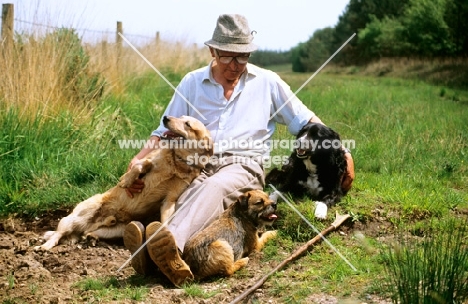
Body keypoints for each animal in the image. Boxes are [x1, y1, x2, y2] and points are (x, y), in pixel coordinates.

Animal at [35, 115, 213, 251]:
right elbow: (139, 166)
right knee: (57, 234)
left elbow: (166, 221)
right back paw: (44, 246)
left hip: (119, 229)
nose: (165, 117)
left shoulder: (169, 200)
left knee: (91, 232)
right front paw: (126, 180)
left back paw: (91, 237)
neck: (178, 162)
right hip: (75, 217)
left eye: (187, 124)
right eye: (180, 117)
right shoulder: (148, 161)